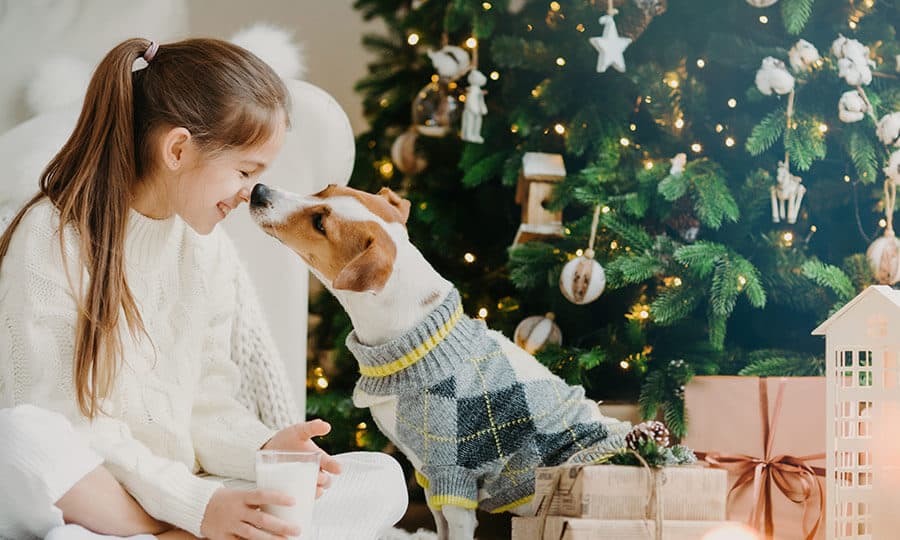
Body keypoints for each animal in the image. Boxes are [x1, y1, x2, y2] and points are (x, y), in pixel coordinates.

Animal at [246, 184, 624, 536]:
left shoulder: (453, 477)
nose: (259, 190)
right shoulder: (428, 478)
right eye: (325, 189)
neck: (416, 336)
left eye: (320, 223)